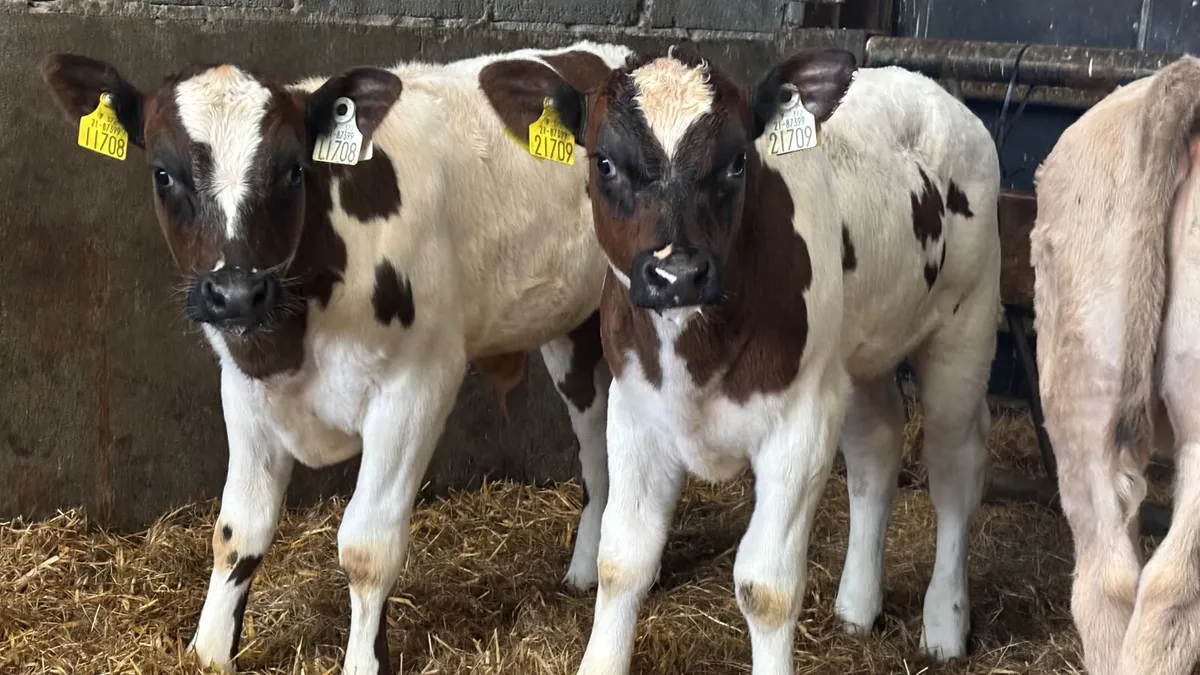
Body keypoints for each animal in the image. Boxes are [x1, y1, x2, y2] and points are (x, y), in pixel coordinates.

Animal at [39, 41, 632, 674]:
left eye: (293, 170)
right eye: (163, 173)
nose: (237, 293)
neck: (292, 341)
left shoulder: (416, 388)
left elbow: (368, 548)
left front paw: (364, 661)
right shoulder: (243, 389)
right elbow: (237, 530)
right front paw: (209, 650)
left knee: (599, 445)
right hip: (564, 328)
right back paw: (581, 569)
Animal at [481, 44, 1002, 672]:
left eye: (736, 163)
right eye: (604, 162)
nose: (677, 273)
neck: (697, 356)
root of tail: (928, 87)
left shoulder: (800, 423)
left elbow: (766, 586)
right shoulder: (636, 409)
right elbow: (622, 560)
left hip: (965, 327)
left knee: (954, 468)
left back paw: (945, 623)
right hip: (857, 354)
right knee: (876, 450)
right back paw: (857, 607)